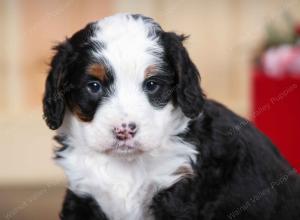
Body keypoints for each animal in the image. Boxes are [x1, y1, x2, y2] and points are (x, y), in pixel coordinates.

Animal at [42, 13, 300, 220]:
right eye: (94, 86)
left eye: (152, 84)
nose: (124, 130)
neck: (127, 165)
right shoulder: (83, 193)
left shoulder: (178, 188)